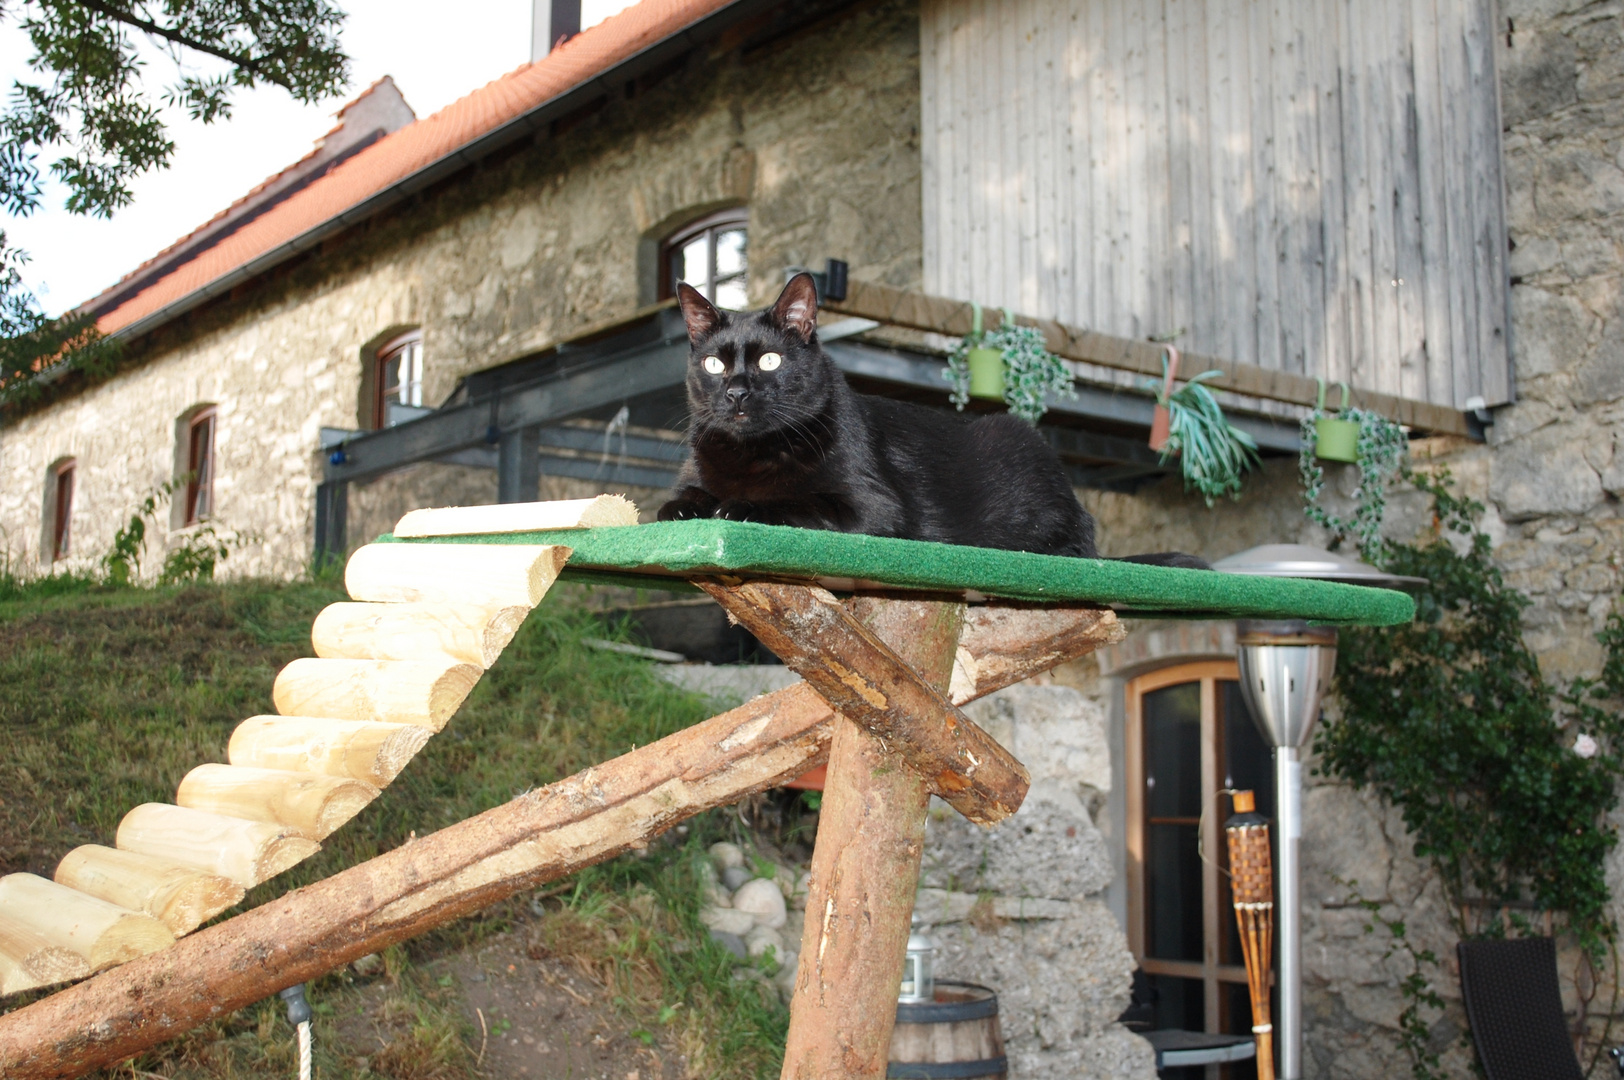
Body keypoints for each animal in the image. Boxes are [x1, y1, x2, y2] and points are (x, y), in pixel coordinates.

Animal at [662, 269, 1208, 565]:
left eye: (770, 361)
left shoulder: (875, 509)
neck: (751, 453)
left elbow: (792, 503)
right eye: (713, 364)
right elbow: (673, 504)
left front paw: (738, 506)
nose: (736, 392)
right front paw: (694, 506)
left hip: (1014, 438)